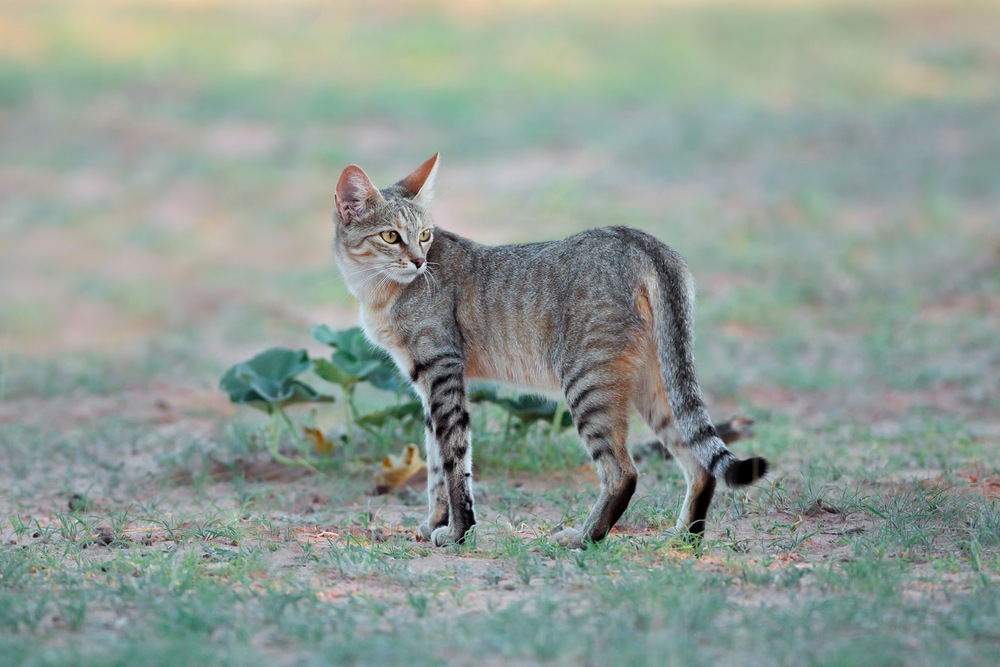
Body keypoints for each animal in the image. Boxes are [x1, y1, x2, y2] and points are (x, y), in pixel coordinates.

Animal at [332, 155, 768, 548]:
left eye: (425, 235)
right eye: (391, 236)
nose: (420, 261)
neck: (378, 292)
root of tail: (639, 240)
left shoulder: (442, 373)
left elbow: (454, 462)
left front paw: (457, 532)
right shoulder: (425, 383)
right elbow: (436, 464)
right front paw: (435, 523)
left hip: (586, 382)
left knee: (623, 472)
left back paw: (585, 537)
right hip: (659, 386)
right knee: (700, 465)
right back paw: (684, 539)